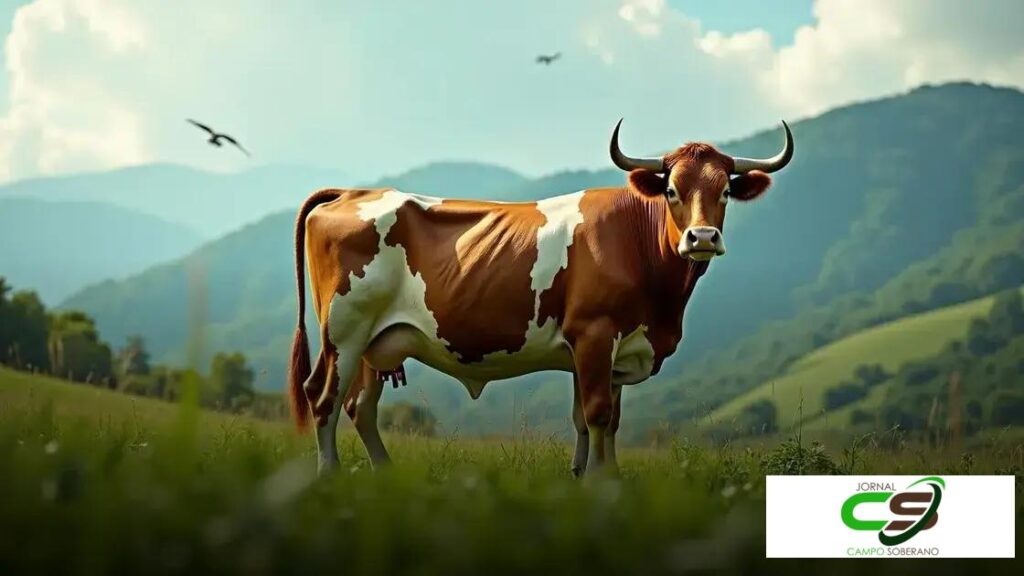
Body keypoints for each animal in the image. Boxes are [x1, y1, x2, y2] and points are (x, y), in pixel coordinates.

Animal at [288, 120, 794, 475]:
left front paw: (595, 477)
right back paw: (329, 477)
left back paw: (386, 477)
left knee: (360, 407)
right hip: (344, 334)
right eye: (671, 189)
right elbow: (596, 413)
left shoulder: (614, 349)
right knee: (323, 399)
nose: (702, 237)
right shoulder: (594, 333)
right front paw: (601, 484)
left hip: (378, 342)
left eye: (725, 191)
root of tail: (354, 192)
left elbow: (601, 420)